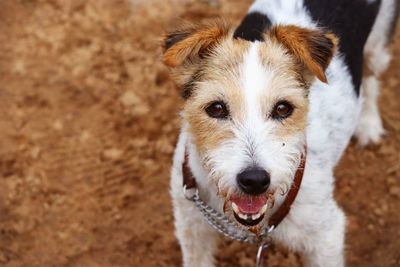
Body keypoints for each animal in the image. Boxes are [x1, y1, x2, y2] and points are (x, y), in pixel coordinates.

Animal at [161, 1, 398, 266]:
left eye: (283, 108)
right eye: (216, 108)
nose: (254, 181)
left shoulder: (327, 237)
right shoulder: (192, 226)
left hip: (377, 47)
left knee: (370, 79)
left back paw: (368, 124)